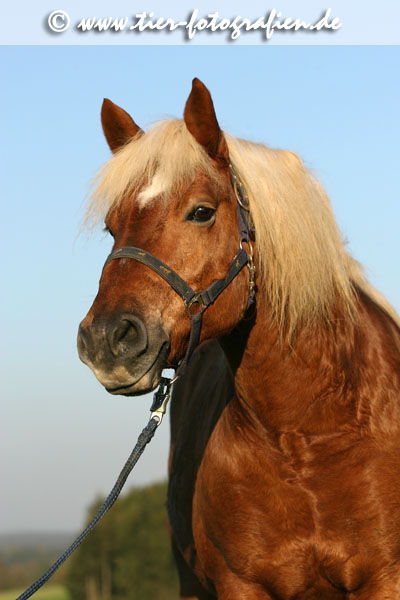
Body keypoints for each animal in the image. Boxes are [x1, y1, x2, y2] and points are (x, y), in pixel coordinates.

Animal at [77, 79, 400, 600]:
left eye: (202, 212)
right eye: (111, 226)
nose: (106, 340)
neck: (308, 432)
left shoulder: (386, 577)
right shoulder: (239, 584)